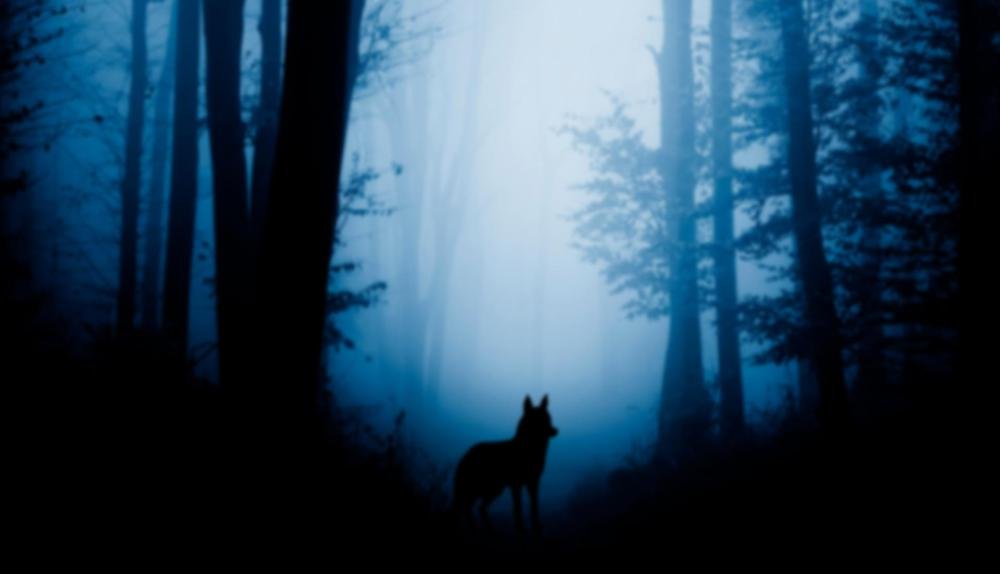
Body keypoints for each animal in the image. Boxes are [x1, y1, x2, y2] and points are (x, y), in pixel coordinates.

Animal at [452, 394, 559, 533]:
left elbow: (534, 506)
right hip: (482, 489)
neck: (528, 449)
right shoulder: (516, 485)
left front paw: (536, 526)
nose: (556, 431)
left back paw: (487, 528)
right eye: (540, 420)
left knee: (477, 508)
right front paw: (520, 527)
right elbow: (518, 508)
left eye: (548, 418)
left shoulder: (533, 483)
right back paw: (475, 528)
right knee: (466, 507)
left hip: (493, 490)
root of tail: (467, 453)